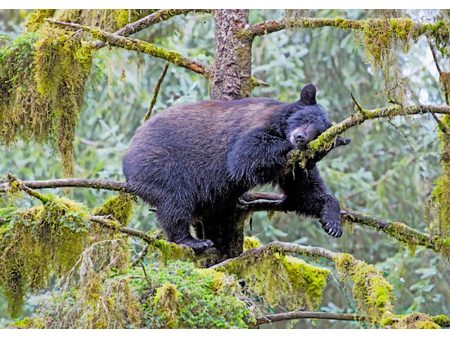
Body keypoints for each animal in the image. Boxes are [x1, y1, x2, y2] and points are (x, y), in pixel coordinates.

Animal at [123, 84, 348, 254]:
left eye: (320, 135)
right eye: (306, 119)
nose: (299, 137)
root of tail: (127, 156)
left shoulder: (294, 167)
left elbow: (305, 191)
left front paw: (333, 222)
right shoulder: (254, 126)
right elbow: (245, 156)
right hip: (161, 163)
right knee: (175, 199)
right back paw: (193, 240)